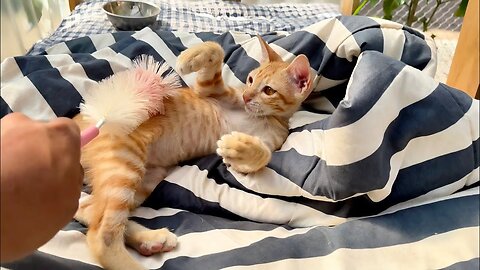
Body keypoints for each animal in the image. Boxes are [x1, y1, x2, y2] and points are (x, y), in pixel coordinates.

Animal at [74, 36, 314, 270]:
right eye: (250, 80)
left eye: (269, 90)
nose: (247, 96)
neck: (261, 117)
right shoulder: (210, 90)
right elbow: (215, 49)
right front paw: (189, 58)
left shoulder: (263, 148)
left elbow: (262, 156)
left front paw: (238, 147)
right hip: (124, 164)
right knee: (100, 228)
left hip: (142, 176)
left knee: (92, 218)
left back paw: (150, 240)